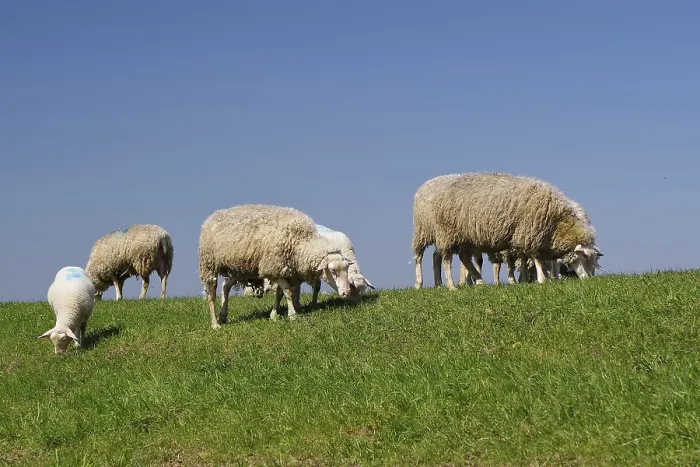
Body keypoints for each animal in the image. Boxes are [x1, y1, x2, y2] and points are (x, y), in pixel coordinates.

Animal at [198, 204, 353, 329]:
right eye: (333, 270)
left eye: (346, 268)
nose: (347, 293)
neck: (300, 243)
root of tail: (213, 216)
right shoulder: (273, 268)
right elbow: (288, 292)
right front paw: (292, 315)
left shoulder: (283, 270)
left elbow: (280, 293)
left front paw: (274, 315)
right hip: (208, 263)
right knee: (211, 294)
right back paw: (215, 323)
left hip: (238, 268)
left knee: (225, 286)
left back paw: (223, 315)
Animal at [431, 172, 603, 288]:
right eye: (585, 257)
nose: (589, 279)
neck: (557, 222)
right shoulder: (530, 234)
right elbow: (535, 258)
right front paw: (541, 279)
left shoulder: (523, 237)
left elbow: (525, 258)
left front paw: (525, 279)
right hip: (448, 233)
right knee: (446, 259)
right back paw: (451, 286)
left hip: (465, 237)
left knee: (463, 257)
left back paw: (478, 280)